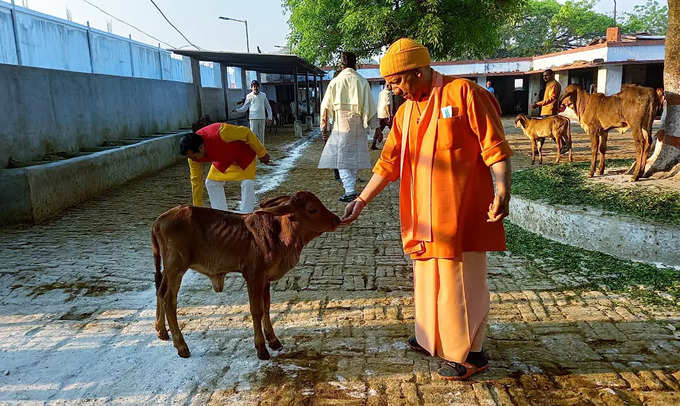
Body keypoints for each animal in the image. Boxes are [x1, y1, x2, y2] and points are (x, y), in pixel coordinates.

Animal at [149, 192, 340, 360]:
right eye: (312, 209)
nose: (337, 219)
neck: (279, 235)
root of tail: (159, 220)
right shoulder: (253, 276)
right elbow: (256, 310)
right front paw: (261, 348)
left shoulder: (265, 279)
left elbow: (267, 307)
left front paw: (273, 340)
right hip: (176, 267)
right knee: (169, 299)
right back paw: (181, 345)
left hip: (169, 269)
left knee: (160, 290)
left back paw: (161, 330)